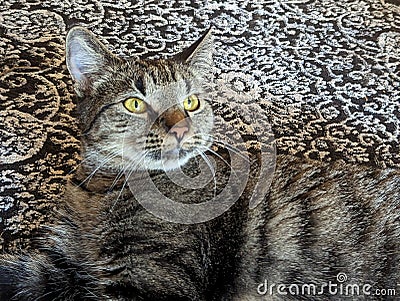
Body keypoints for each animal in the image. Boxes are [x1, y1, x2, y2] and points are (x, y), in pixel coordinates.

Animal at [0, 27, 400, 298]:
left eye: (191, 102)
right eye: (134, 103)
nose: (180, 127)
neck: (102, 189)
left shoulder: (148, 279)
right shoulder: (60, 265)